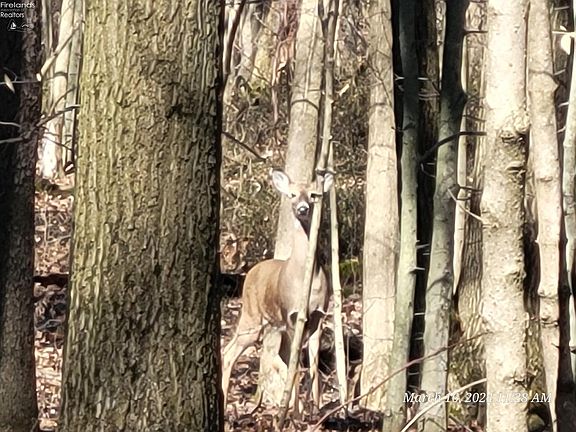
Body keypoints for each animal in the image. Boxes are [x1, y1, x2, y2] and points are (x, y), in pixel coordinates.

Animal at [221, 168, 334, 410]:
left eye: (313, 195)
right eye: (292, 195)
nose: (302, 209)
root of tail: (251, 271)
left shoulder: (318, 315)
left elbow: (313, 365)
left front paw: (318, 407)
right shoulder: (291, 314)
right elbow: (295, 367)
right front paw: (297, 412)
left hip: (271, 325)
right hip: (252, 317)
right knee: (230, 352)